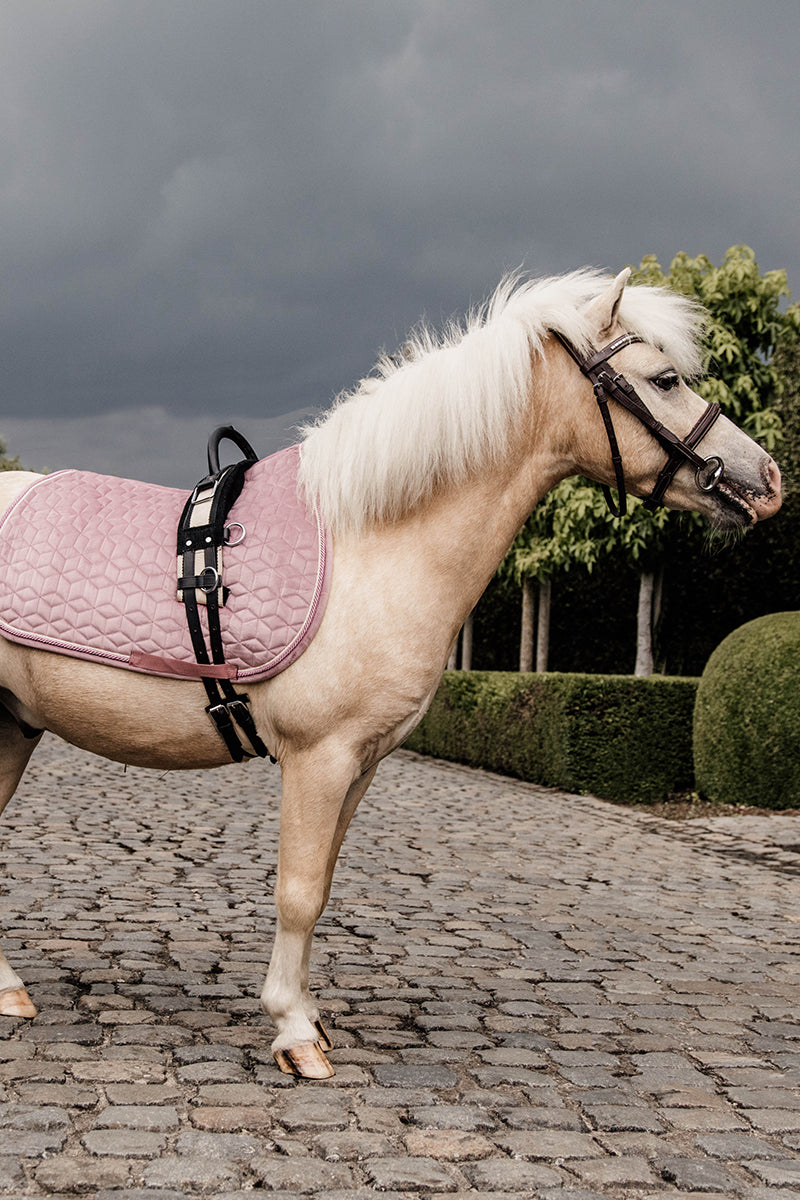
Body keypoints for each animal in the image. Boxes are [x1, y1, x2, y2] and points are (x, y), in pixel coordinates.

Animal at [0, 267, 781, 1078]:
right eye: (664, 380)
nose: (767, 479)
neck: (370, 546)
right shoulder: (320, 759)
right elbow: (298, 892)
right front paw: (295, 1035)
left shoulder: (361, 764)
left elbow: (321, 885)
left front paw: (309, 1016)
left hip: (13, 728)